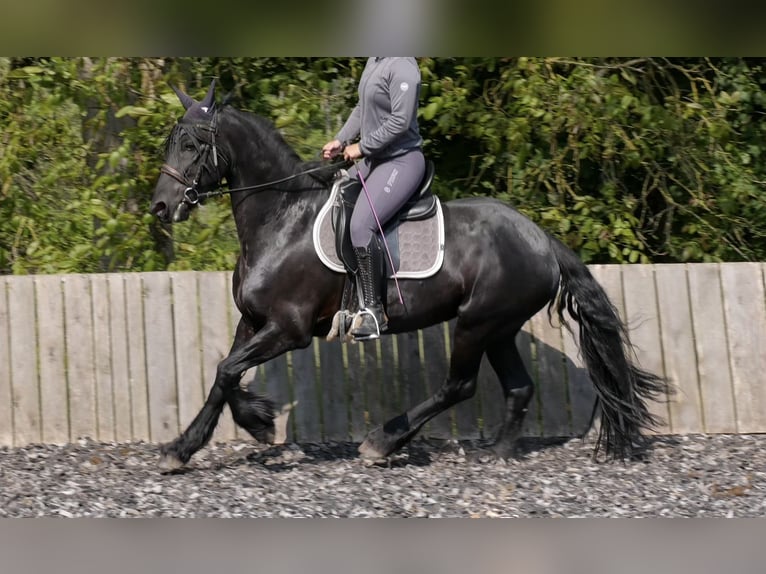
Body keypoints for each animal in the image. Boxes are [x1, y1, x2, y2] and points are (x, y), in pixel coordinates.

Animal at [149, 81, 667, 472]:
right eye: (171, 142)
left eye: (192, 145)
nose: (160, 207)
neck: (282, 218)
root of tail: (541, 239)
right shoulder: (254, 322)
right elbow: (225, 376)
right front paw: (191, 446)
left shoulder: (289, 330)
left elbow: (227, 370)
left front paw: (257, 424)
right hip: (500, 328)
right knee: (518, 387)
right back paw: (496, 452)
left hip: (477, 323)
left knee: (460, 385)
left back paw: (383, 441)